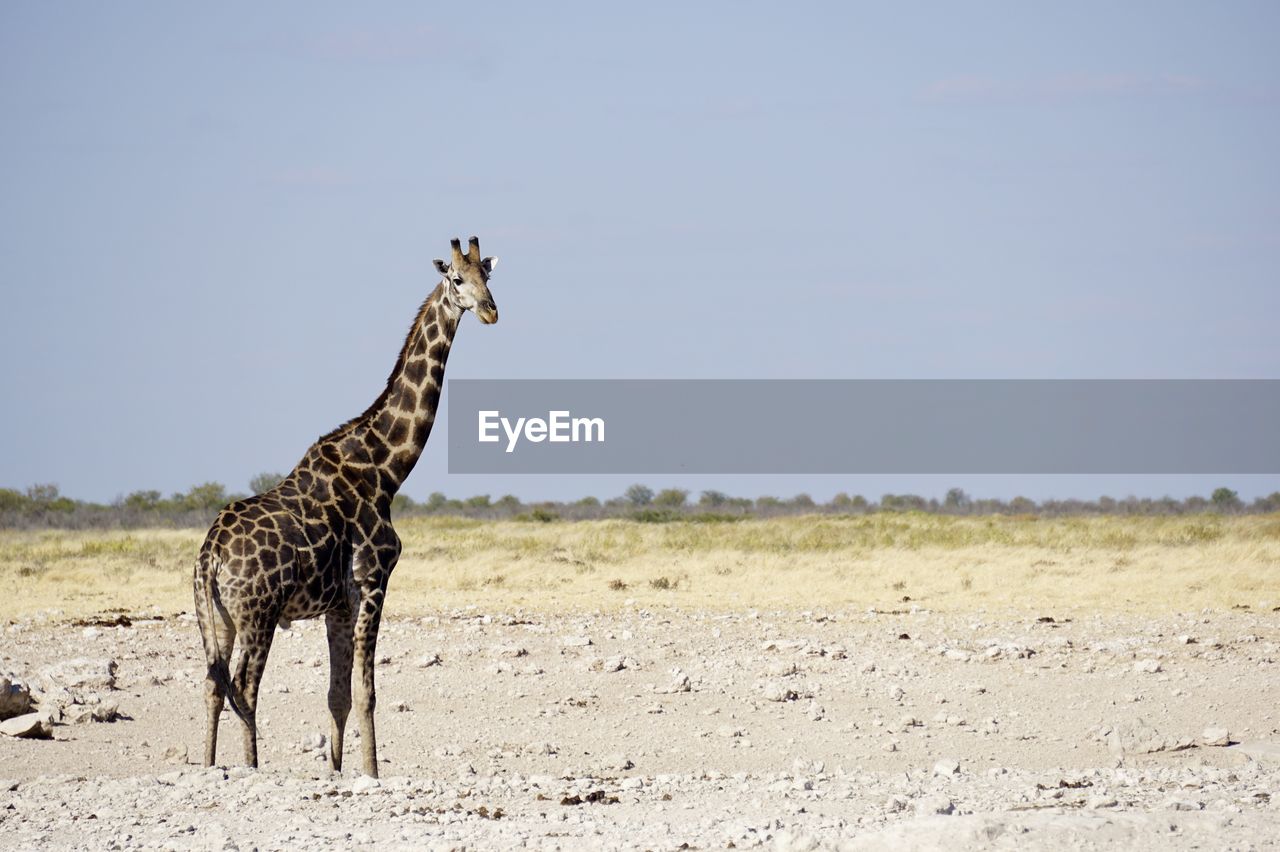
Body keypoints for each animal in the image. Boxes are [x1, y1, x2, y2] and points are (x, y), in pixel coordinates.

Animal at [194, 235, 499, 772]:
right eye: (456, 279)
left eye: (489, 275)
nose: (489, 310)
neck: (385, 468)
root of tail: (209, 556)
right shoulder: (372, 582)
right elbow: (366, 692)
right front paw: (371, 774)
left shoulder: (336, 604)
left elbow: (336, 695)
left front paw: (335, 772)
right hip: (258, 614)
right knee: (245, 689)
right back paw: (251, 769)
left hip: (218, 616)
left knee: (213, 686)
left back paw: (211, 768)